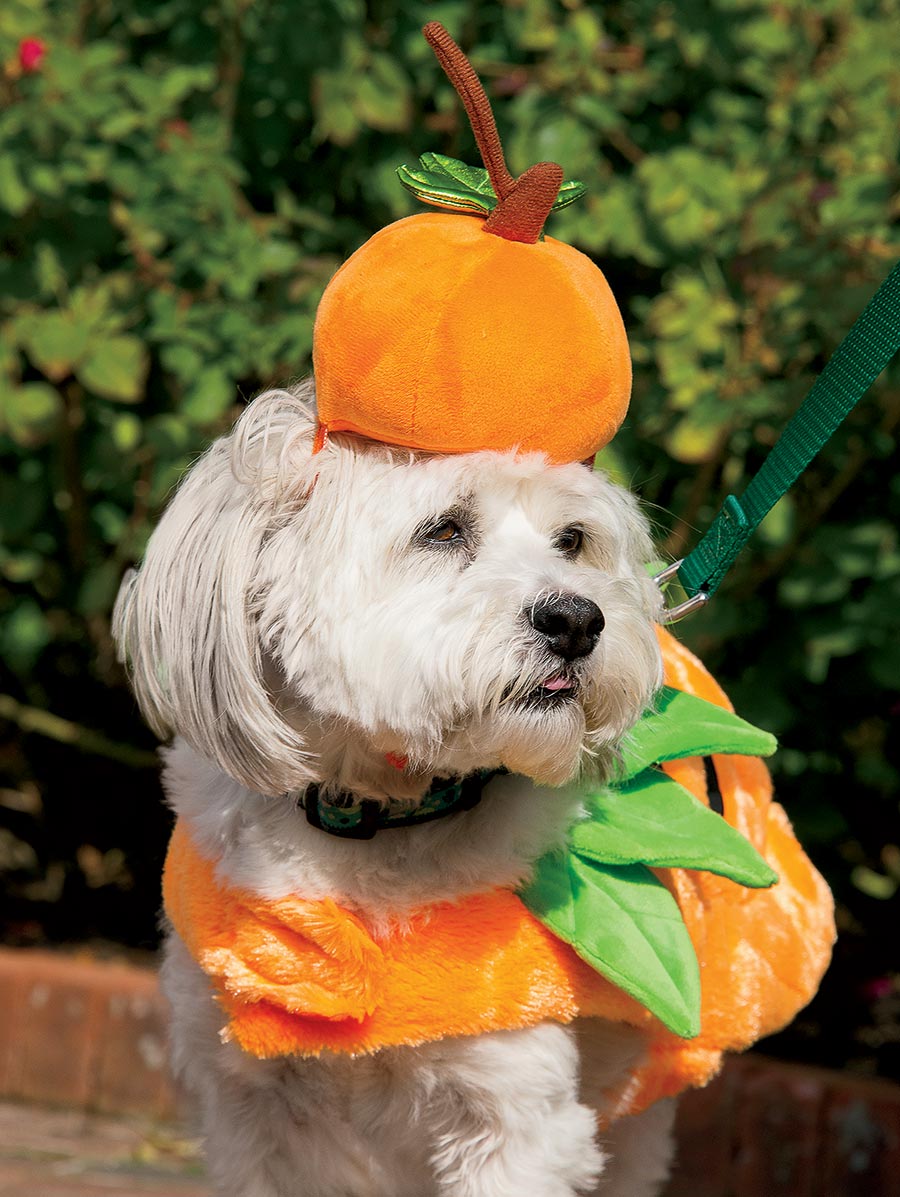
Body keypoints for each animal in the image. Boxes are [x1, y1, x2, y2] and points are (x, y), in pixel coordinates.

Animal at [112, 383, 675, 1197]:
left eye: (572, 540)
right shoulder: (251, 1113)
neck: (381, 814)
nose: (577, 618)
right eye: (443, 530)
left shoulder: (516, 1112)